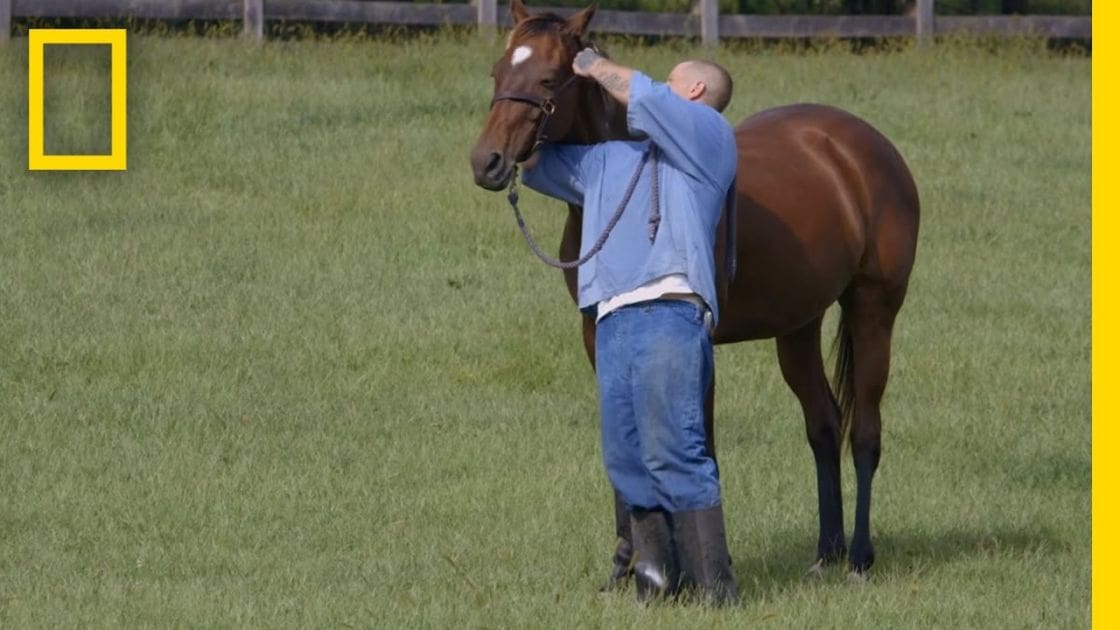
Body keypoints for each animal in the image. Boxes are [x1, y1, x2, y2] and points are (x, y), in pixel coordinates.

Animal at [469, 0, 920, 582]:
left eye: (548, 78)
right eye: (498, 73)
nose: (487, 162)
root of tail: (864, 147)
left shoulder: (697, 341)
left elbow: (701, 446)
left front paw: (700, 568)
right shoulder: (597, 332)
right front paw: (628, 565)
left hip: (873, 310)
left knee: (864, 430)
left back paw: (860, 556)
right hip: (798, 325)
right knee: (824, 424)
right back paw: (826, 552)